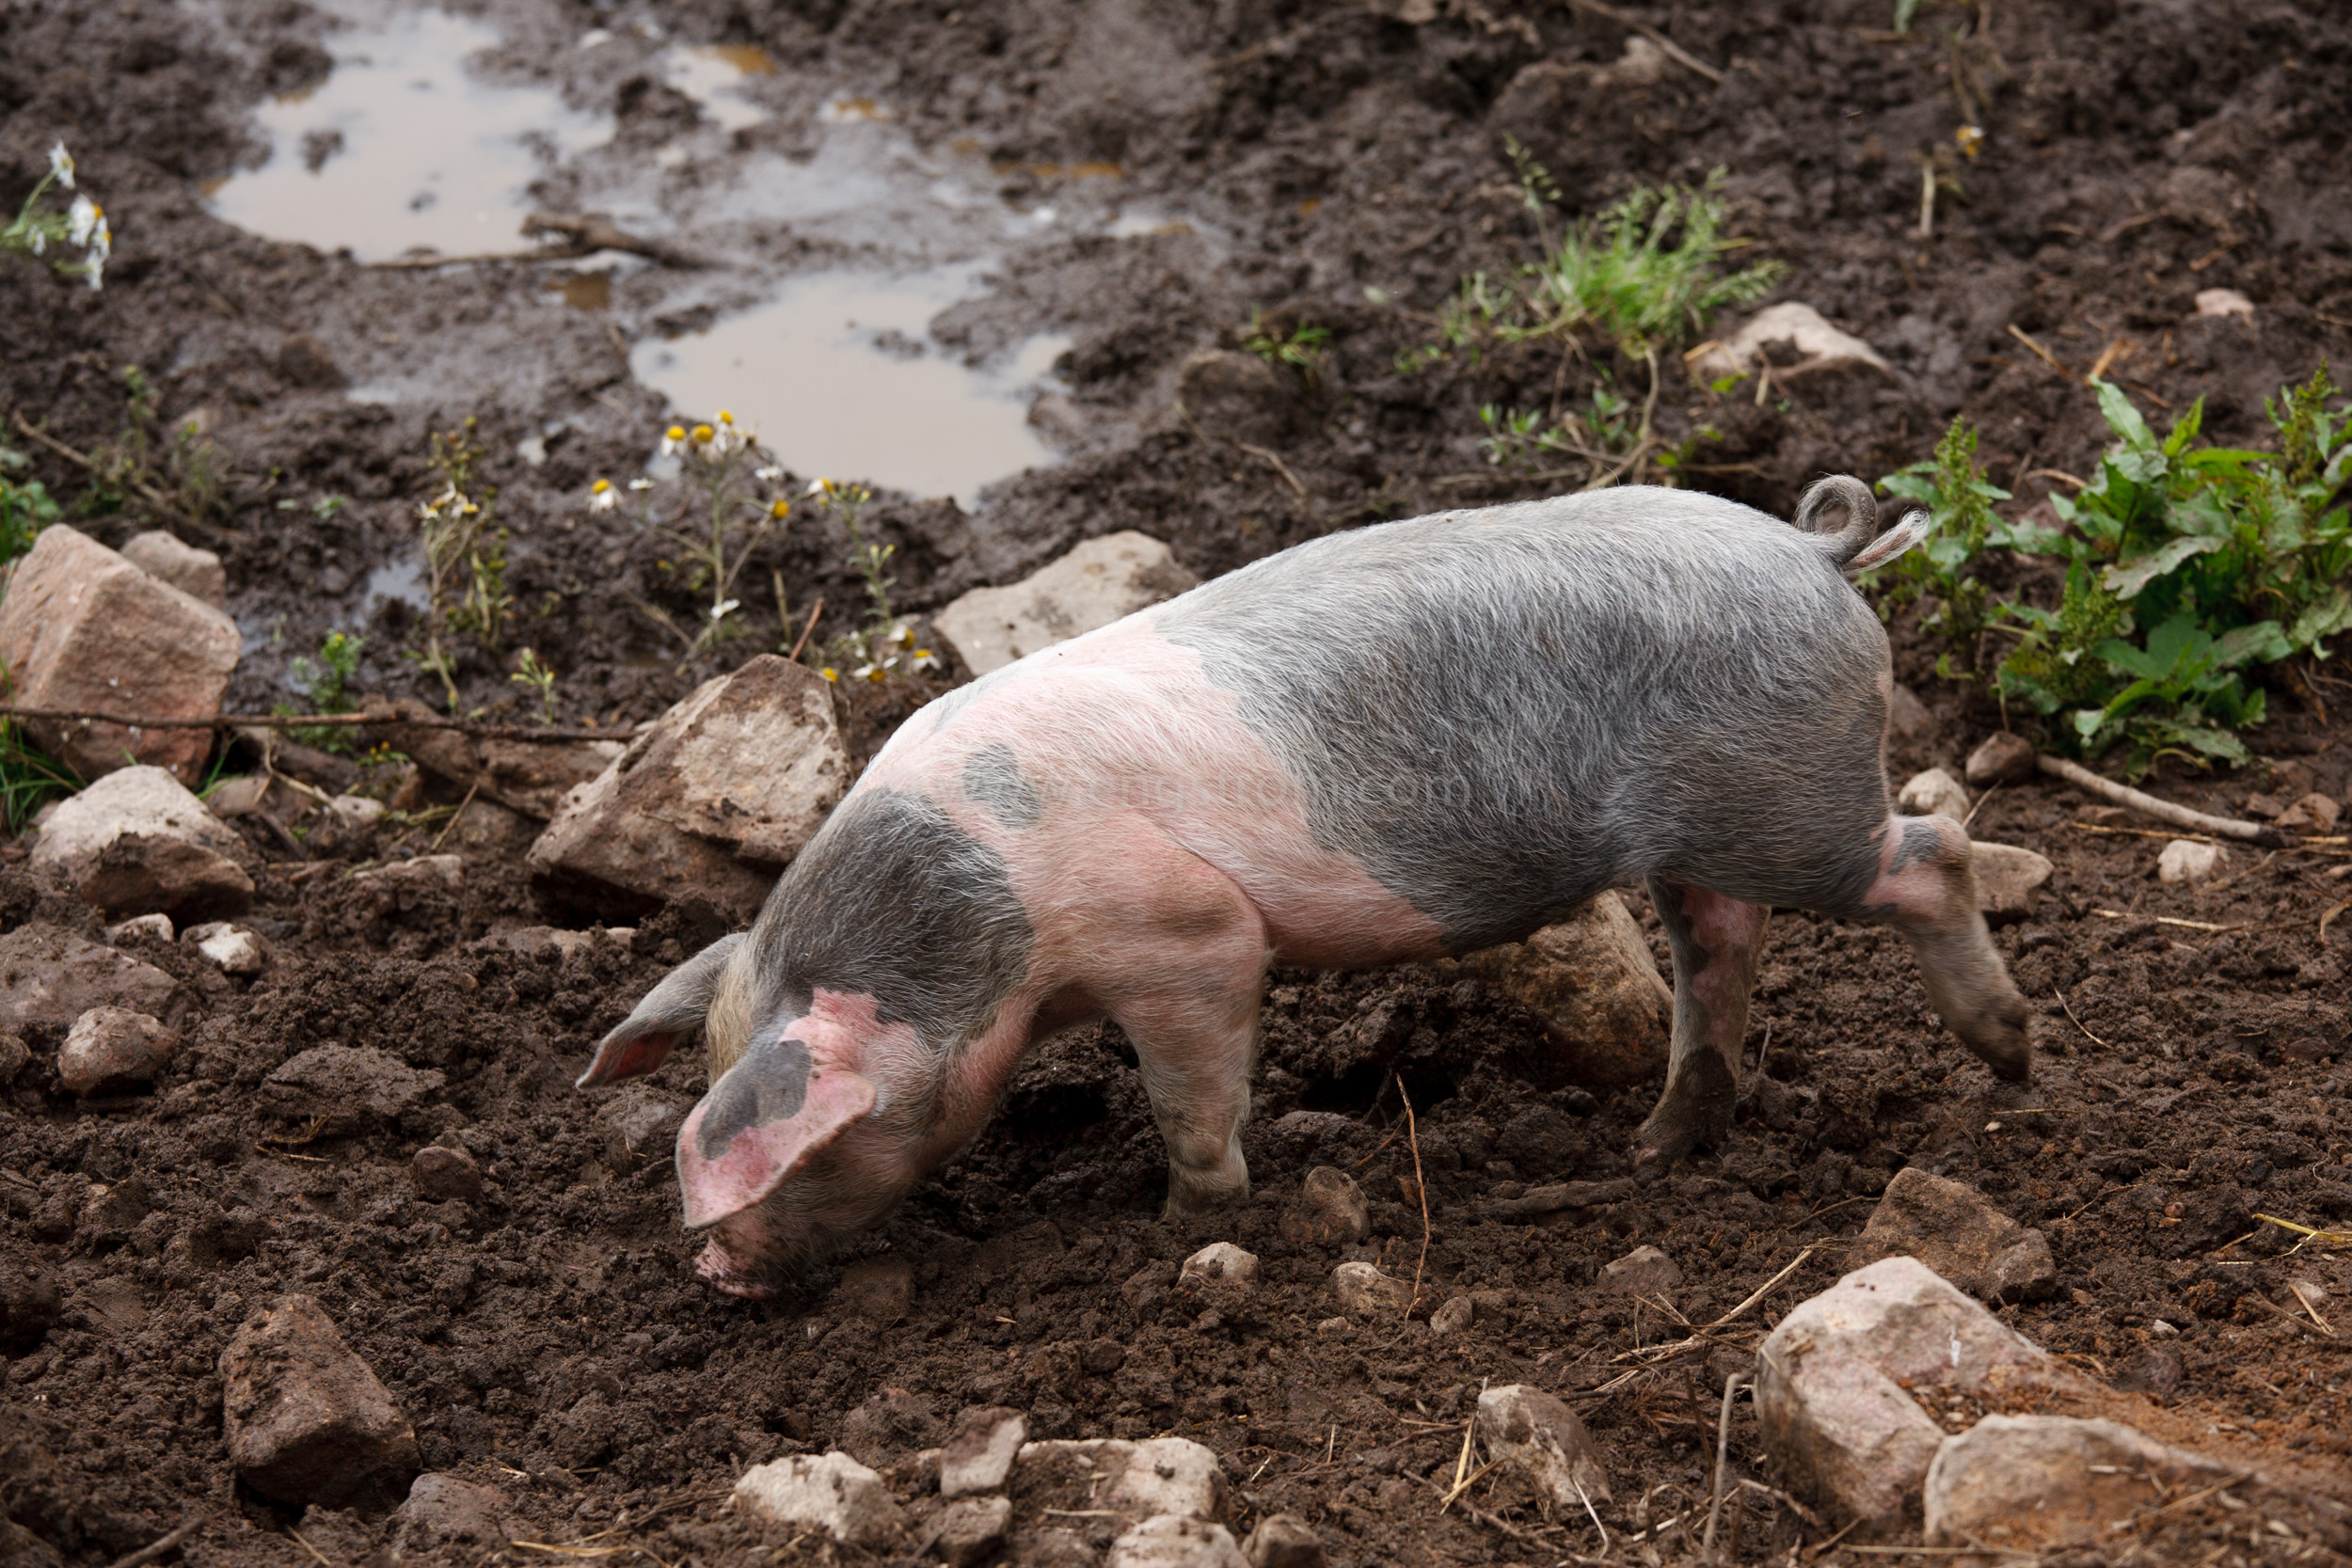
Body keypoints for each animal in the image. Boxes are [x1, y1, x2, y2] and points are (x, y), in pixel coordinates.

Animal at [579, 479, 2032, 1297]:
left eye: (813, 1144)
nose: (713, 1268)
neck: (993, 933)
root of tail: (1816, 553)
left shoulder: (1188, 936)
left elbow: (1195, 1092)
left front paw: (1181, 1222)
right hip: (1715, 830)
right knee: (1720, 948)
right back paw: (1658, 1147)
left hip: (1788, 800)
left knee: (1930, 854)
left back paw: (2008, 1059)